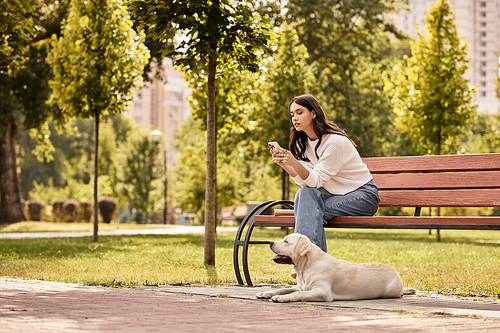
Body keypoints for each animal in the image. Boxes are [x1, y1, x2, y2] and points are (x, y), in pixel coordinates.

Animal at [256, 232, 416, 302]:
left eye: (286, 241)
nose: (270, 242)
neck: (305, 268)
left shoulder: (322, 292)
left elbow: (297, 294)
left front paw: (281, 298)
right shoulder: (302, 286)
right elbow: (284, 288)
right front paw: (266, 293)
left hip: (391, 291)